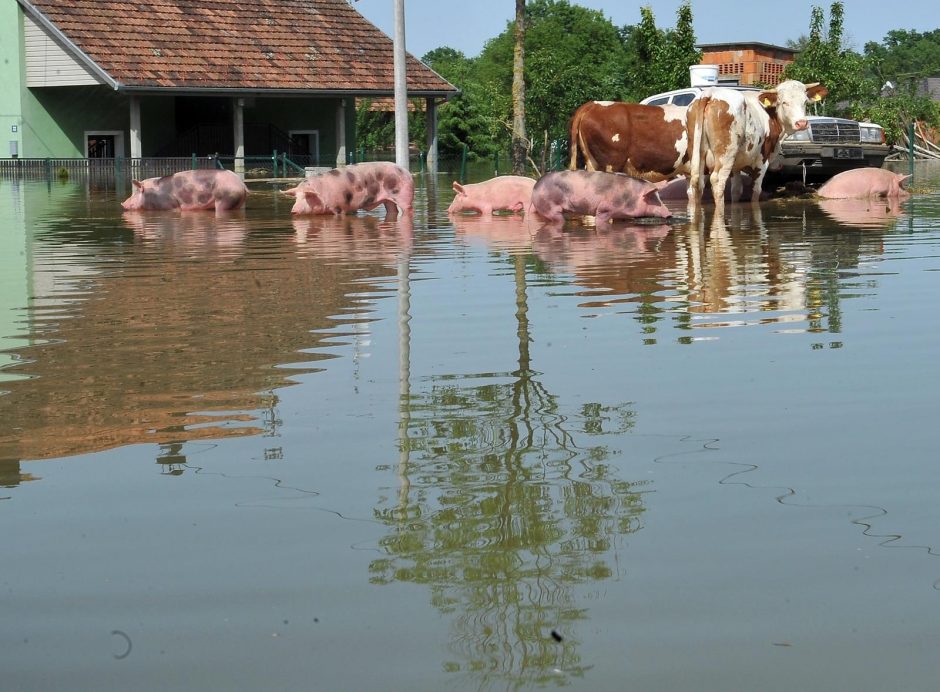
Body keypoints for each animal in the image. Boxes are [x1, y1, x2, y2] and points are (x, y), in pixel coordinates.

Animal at [284, 162, 414, 218]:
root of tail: (406, 172)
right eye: (296, 198)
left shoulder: (339, 207)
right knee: (393, 210)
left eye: (307, 196)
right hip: (388, 201)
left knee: (408, 209)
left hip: (404, 196)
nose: (293, 210)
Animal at [532, 170, 672, 226]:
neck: (630, 196)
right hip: (550, 207)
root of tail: (536, 187)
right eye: (653, 198)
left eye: (659, 197)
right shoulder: (605, 209)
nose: (670, 214)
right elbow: (600, 219)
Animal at [688, 79, 828, 209]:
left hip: (697, 155)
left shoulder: (736, 166)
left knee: (695, 183)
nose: (802, 123)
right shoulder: (761, 161)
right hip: (726, 155)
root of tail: (710, 93)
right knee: (717, 181)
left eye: (804, 102)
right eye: (784, 102)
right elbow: (756, 191)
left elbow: (736, 190)